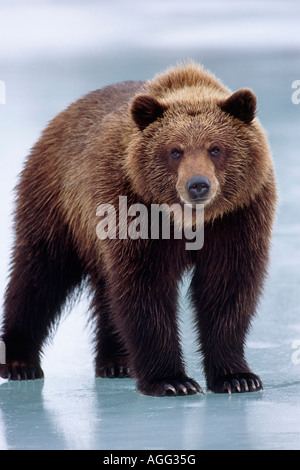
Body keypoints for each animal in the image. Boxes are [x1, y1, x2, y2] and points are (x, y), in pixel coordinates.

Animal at [0, 60, 276, 394]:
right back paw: (20, 363)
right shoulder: (134, 209)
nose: (198, 185)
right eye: (175, 150)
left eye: (216, 148)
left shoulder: (237, 217)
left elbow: (227, 287)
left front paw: (237, 377)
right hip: (57, 202)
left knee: (102, 289)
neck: (188, 221)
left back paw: (116, 361)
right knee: (39, 275)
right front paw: (172, 381)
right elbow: (145, 287)